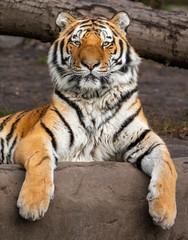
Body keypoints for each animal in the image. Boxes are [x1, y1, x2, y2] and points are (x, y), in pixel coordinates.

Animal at [0, 11, 177, 229]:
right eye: (76, 42)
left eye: (105, 43)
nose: (90, 65)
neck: (95, 97)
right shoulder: (39, 137)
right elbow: (41, 160)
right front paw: (32, 204)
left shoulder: (144, 139)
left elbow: (168, 165)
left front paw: (165, 212)